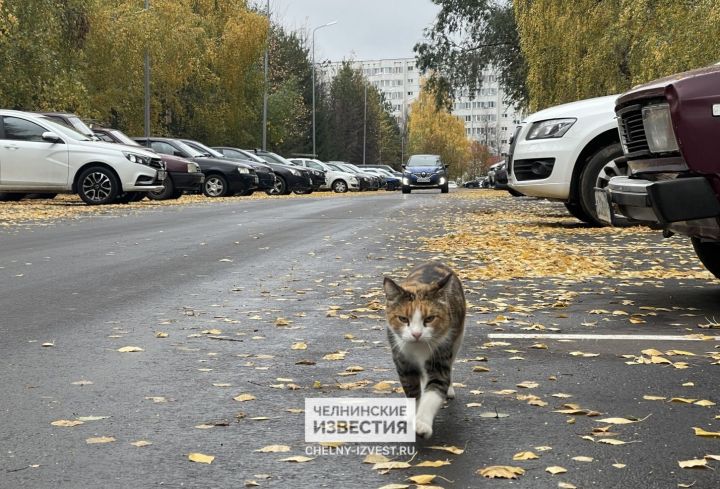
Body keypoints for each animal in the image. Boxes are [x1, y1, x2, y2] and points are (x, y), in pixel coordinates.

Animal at [382, 262, 466, 440]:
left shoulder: (440, 354)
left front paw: (422, 424)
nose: (416, 334)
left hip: (457, 338)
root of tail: (435, 262)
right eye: (403, 318)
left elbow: (435, 387)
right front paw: (413, 416)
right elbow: (412, 391)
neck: (418, 347)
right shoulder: (403, 361)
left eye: (429, 318)